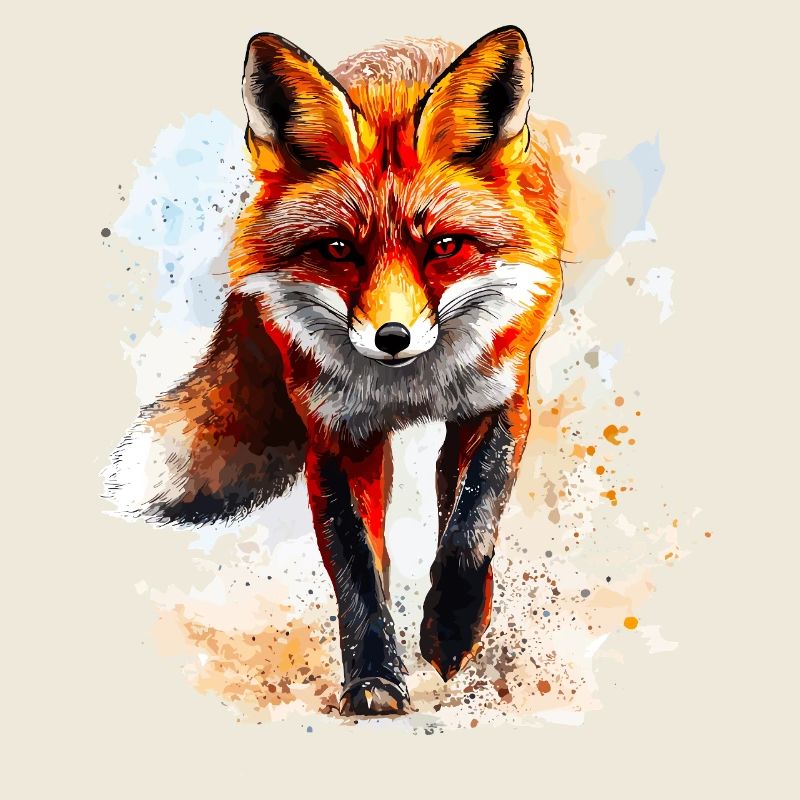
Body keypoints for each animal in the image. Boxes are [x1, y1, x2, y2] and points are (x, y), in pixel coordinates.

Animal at [105, 25, 565, 715]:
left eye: (445, 247)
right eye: (339, 249)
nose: (393, 337)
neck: (411, 388)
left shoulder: (499, 399)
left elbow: (472, 526)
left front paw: (452, 628)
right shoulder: (336, 434)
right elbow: (358, 569)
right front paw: (374, 679)